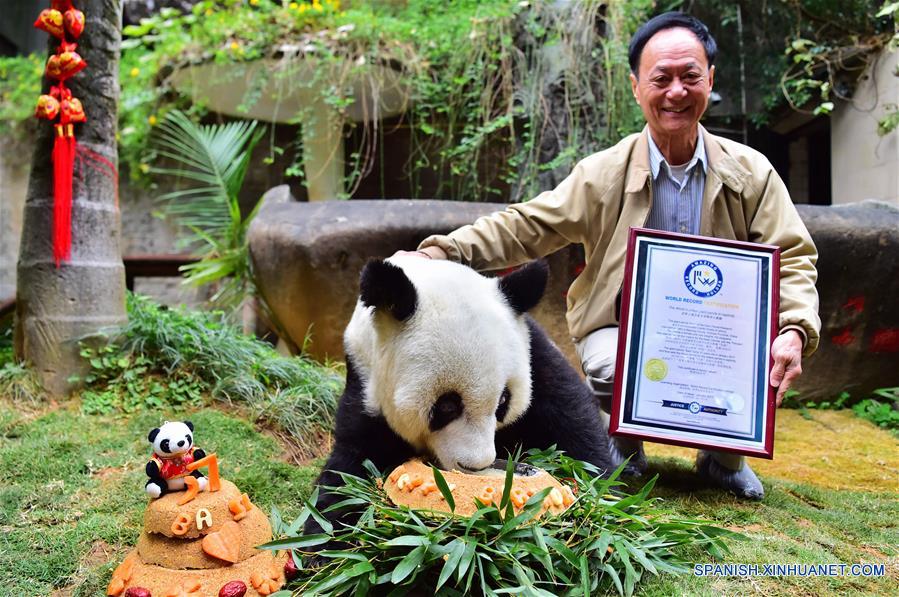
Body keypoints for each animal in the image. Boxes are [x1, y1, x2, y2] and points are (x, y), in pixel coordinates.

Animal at [308, 255, 612, 532]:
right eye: (446, 406)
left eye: (503, 402)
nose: (476, 467)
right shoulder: (366, 380)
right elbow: (351, 466)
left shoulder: (533, 352)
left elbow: (571, 419)